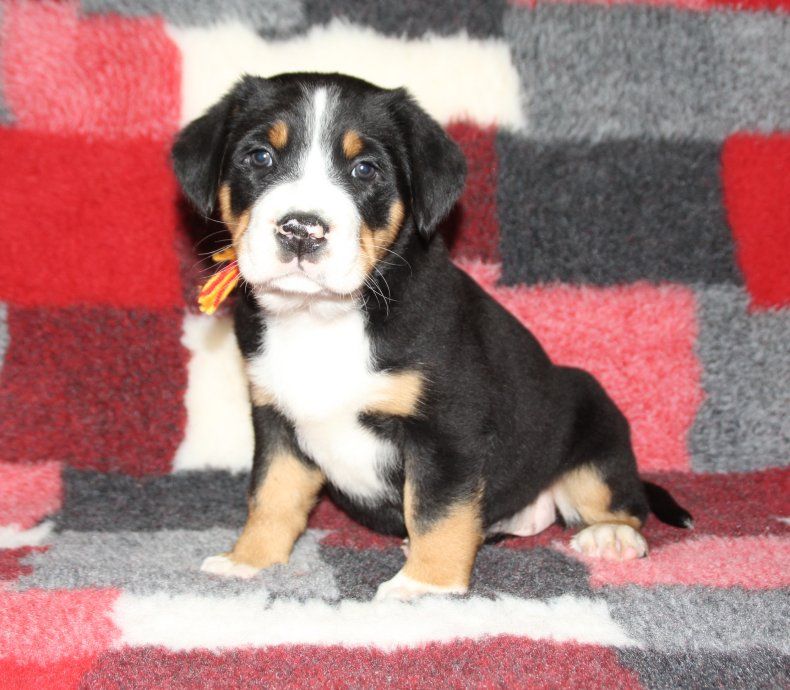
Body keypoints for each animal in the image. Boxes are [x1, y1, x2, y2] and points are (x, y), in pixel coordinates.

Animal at [171, 72, 692, 601]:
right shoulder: (276, 420)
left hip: (594, 424)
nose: (301, 230)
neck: (321, 318)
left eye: (365, 169)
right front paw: (249, 559)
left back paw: (611, 535)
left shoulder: (447, 429)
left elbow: (436, 512)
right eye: (260, 157)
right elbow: (271, 495)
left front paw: (424, 585)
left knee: (621, 500)